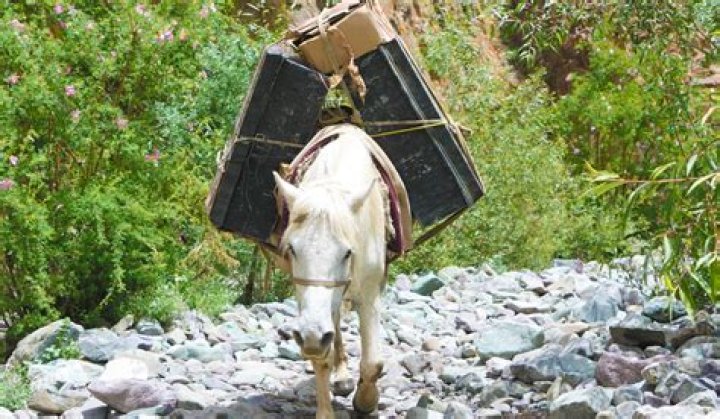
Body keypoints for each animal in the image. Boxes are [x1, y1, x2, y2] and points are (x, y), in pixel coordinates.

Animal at [273, 124, 389, 418]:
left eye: (347, 252)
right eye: (292, 249)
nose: (312, 336)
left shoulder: (370, 293)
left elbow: (373, 362)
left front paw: (366, 401)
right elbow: (322, 357)